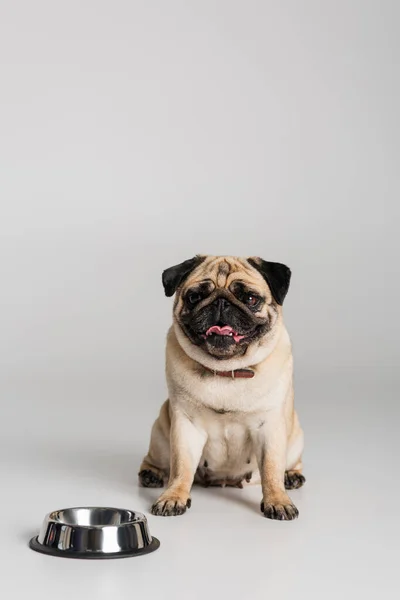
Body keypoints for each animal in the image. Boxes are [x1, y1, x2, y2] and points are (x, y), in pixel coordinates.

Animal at [139, 255, 304, 516]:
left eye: (250, 299)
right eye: (195, 297)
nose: (221, 303)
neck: (228, 371)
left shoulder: (270, 427)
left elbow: (271, 468)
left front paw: (278, 500)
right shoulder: (186, 427)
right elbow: (181, 467)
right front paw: (173, 497)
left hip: (295, 436)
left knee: (289, 462)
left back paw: (292, 476)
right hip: (160, 432)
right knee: (159, 460)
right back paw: (151, 474)